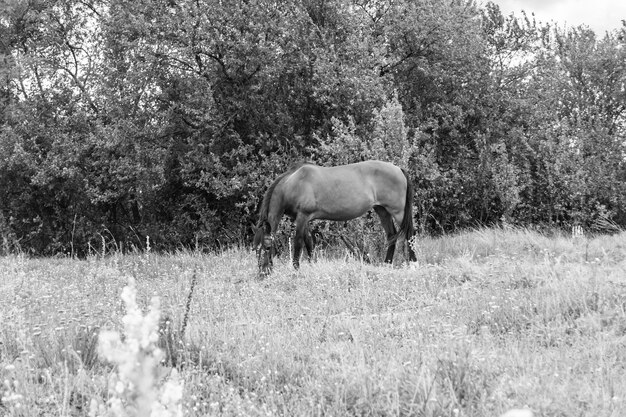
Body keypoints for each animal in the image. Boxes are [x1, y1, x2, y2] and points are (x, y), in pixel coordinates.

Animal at [251, 161, 416, 274]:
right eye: (255, 248)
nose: (262, 273)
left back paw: (414, 264)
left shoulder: (303, 217)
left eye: (267, 247)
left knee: (410, 234)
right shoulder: (303, 219)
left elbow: (298, 242)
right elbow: (309, 242)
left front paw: (296, 268)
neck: (293, 184)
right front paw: (312, 264)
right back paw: (387, 264)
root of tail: (398, 169)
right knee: (392, 236)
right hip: (382, 211)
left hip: (398, 211)